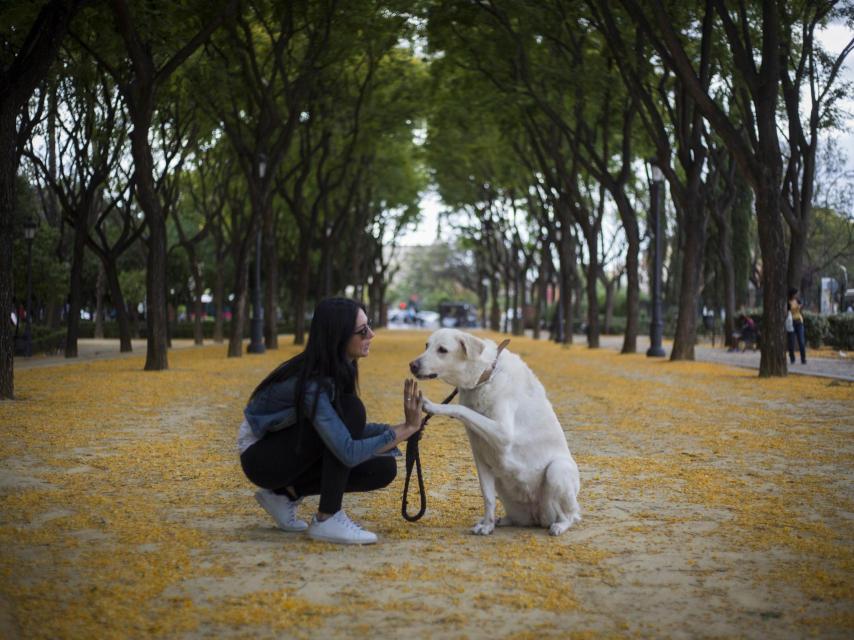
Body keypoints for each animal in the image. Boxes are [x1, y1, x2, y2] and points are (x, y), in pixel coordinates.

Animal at [410, 330, 580, 536]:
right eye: (426, 346)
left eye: (442, 349)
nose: (412, 365)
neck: (487, 375)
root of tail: (538, 517)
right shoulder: (480, 456)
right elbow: (488, 496)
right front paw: (487, 525)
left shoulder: (502, 433)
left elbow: (460, 409)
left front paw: (433, 406)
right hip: (503, 482)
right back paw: (499, 521)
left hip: (557, 470)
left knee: (571, 514)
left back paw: (560, 525)